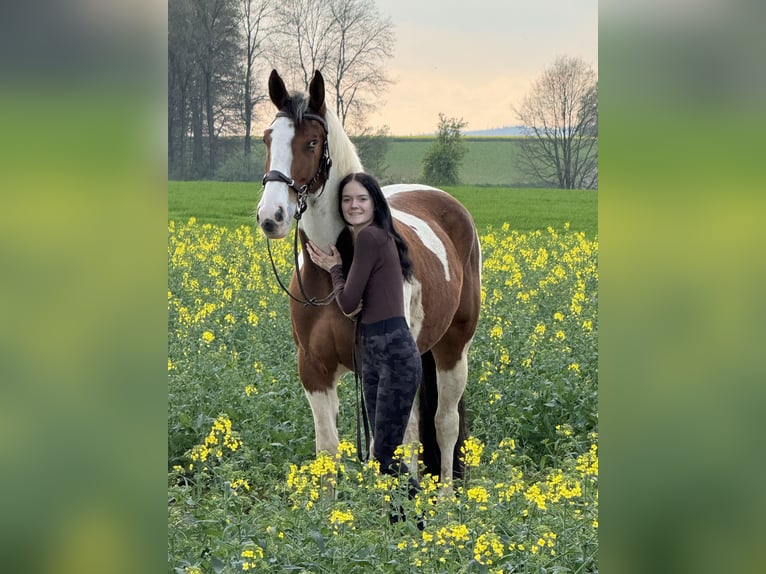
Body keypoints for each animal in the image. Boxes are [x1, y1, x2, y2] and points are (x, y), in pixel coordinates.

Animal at [256, 69, 481, 484]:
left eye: (312, 142)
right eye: (267, 138)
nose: (271, 216)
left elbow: (388, 449)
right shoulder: (314, 370)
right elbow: (328, 453)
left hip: (453, 349)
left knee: (444, 426)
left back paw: (443, 496)